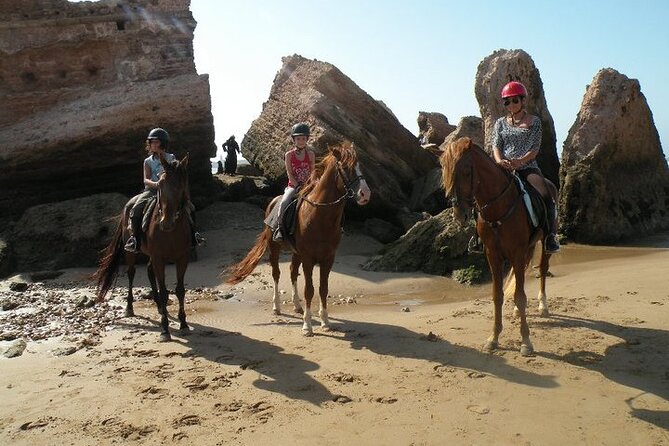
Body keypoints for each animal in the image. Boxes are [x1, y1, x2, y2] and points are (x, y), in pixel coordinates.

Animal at [92, 152, 190, 342]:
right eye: (160, 184)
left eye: (182, 186)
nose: (166, 223)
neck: (172, 231)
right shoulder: (159, 258)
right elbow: (164, 291)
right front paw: (165, 329)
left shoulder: (182, 258)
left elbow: (180, 290)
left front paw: (183, 324)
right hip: (131, 252)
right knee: (132, 273)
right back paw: (130, 307)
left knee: (150, 272)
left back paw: (159, 307)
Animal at [226, 142, 370, 334]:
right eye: (346, 167)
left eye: (360, 166)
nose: (365, 194)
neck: (320, 215)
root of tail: (273, 202)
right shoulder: (308, 258)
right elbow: (309, 290)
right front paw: (307, 325)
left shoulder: (328, 258)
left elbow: (323, 289)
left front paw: (325, 321)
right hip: (275, 248)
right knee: (276, 274)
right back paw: (277, 307)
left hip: (296, 253)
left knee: (293, 272)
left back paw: (297, 306)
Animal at [438, 136, 552, 356]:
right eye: (445, 172)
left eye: (466, 171)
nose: (460, 215)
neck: (499, 207)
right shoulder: (493, 255)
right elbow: (497, 295)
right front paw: (493, 338)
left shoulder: (516, 252)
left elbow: (520, 296)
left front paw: (526, 341)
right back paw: (516, 311)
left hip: (544, 242)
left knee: (542, 269)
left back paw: (543, 305)